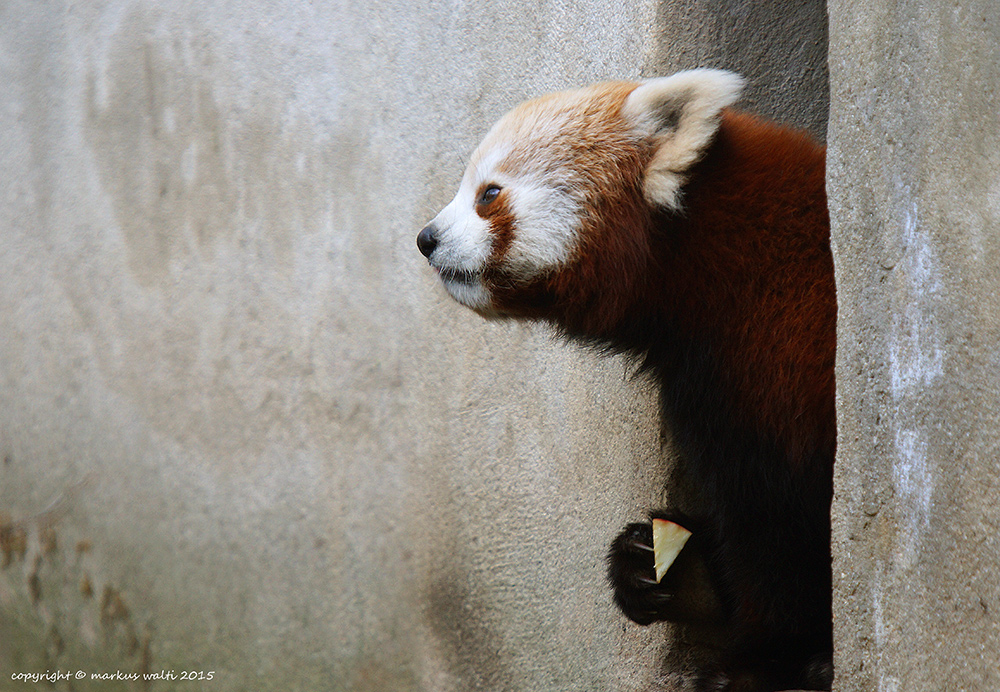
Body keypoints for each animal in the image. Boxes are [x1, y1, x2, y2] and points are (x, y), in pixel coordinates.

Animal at [414, 71, 836, 692]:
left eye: (488, 194)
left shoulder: (770, 358)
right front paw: (668, 567)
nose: (426, 239)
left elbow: (773, 519)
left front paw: (763, 660)